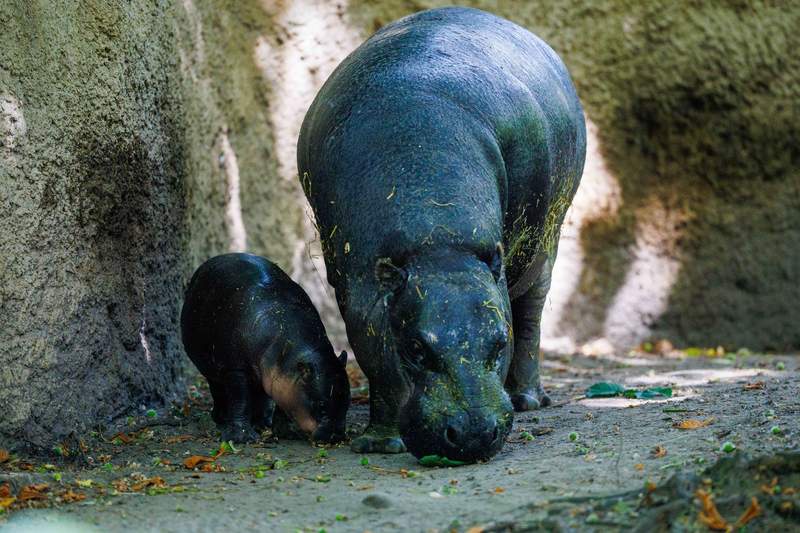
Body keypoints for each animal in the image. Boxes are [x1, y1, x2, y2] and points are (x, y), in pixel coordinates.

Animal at [180, 253, 350, 443]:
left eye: (347, 400)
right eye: (320, 405)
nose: (336, 435)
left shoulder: (286, 379)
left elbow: (283, 403)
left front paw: (286, 432)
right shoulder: (235, 368)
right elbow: (240, 401)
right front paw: (242, 438)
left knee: (262, 395)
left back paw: (262, 423)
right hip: (212, 368)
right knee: (218, 390)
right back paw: (221, 419)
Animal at [297, 7, 586, 462]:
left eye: (497, 343)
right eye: (416, 348)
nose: (472, 434)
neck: (437, 241)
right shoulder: (357, 285)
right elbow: (376, 355)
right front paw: (380, 444)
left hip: (547, 240)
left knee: (531, 313)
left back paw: (528, 400)